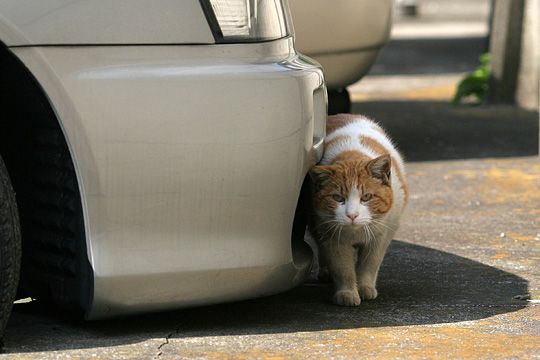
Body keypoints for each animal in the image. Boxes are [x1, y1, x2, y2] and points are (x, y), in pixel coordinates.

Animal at [306, 114, 408, 306]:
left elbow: (370, 264)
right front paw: (347, 293)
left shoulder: (381, 237)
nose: (352, 215)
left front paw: (365, 287)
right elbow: (343, 267)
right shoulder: (333, 238)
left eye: (366, 197)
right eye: (338, 198)